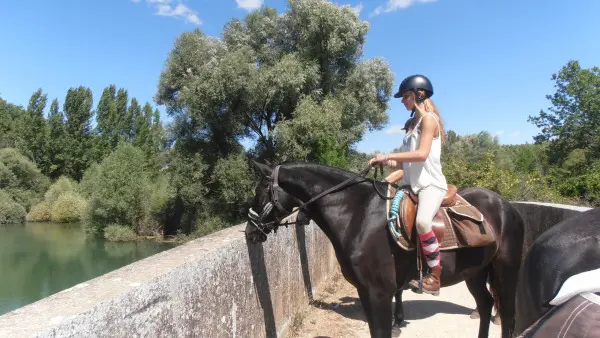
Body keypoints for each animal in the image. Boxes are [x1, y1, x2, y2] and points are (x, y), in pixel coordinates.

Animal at [246, 162, 524, 338]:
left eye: (260, 192)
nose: (249, 232)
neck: (358, 214)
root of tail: (506, 207)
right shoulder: (366, 292)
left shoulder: (379, 293)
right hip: (475, 273)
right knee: (486, 306)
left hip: (506, 271)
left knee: (508, 316)